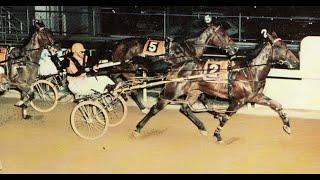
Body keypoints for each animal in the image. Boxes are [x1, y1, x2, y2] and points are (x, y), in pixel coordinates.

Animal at [110, 22, 238, 112]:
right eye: (223, 34)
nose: (235, 47)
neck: (186, 48)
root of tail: (119, 45)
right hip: (129, 71)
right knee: (131, 88)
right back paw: (140, 106)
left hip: (124, 69)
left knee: (115, 77)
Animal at [132, 31, 300, 143]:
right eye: (280, 46)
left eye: (285, 45)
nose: (296, 61)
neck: (249, 71)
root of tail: (175, 65)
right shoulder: (238, 100)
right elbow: (226, 117)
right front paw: (218, 135)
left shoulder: (255, 97)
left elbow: (277, 105)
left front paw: (287, 126)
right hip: (171, 92)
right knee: (155, 109)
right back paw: (137, 129)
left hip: (194, 92)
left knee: (185, 108)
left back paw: (202, 127)